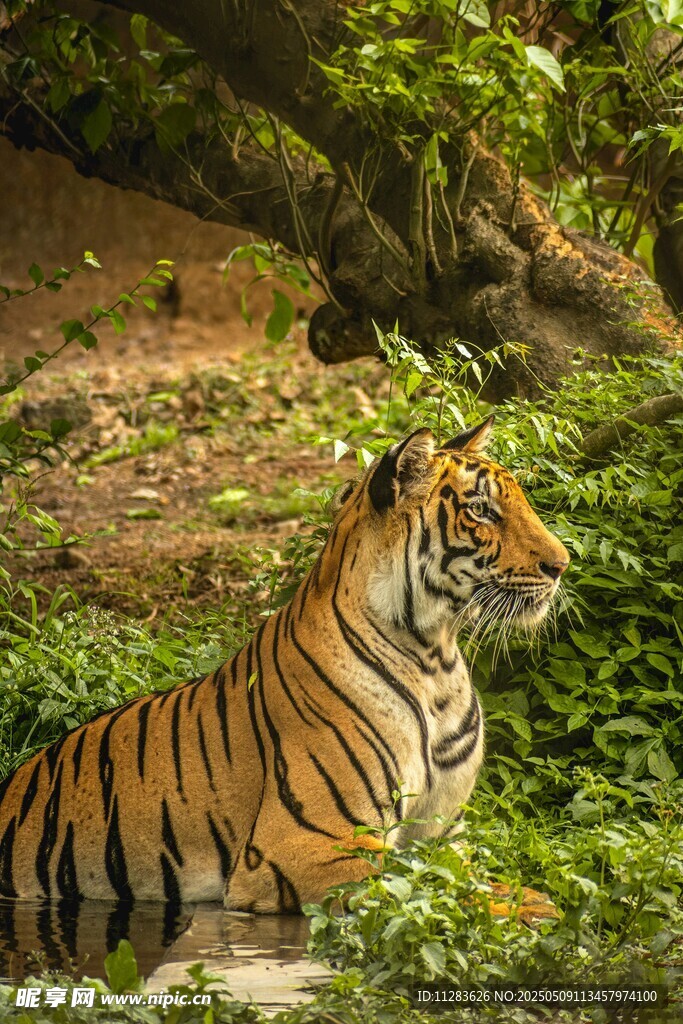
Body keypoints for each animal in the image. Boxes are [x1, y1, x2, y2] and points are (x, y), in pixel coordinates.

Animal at [0, 419, 569, 915]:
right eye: (481, 510)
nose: (562, 564)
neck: (434, 658)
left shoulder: (442, 833)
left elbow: (471, 875)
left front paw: (533, 896)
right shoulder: (310, 842)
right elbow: (430, 887)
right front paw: (529, 912)